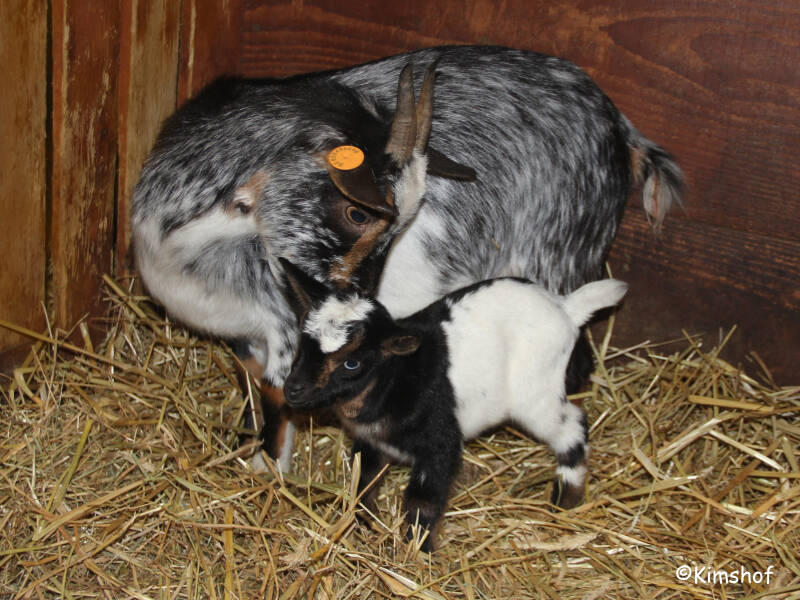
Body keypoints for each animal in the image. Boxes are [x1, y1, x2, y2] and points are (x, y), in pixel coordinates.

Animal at [131, 45, 682, 470]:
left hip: (558, 256)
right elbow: (250, 382)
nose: (362, 305)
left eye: (400, 222)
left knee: (577, 358)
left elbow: (278, 396)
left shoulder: (286, 334)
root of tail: (619, 129)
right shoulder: (249, 336)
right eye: (357, 212)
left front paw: (270, 471)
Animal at [280, 258, 628, 551]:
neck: (399, 377)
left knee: (573, 426)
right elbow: (363, 483)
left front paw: (417, 551)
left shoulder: (440, 443)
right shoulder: (370, 441)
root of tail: (565, 308)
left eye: (352, 363)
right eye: (303, 343)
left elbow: (423, 500)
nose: (292, 390)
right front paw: (364, 525)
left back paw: (565, 498)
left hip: (536, 393)